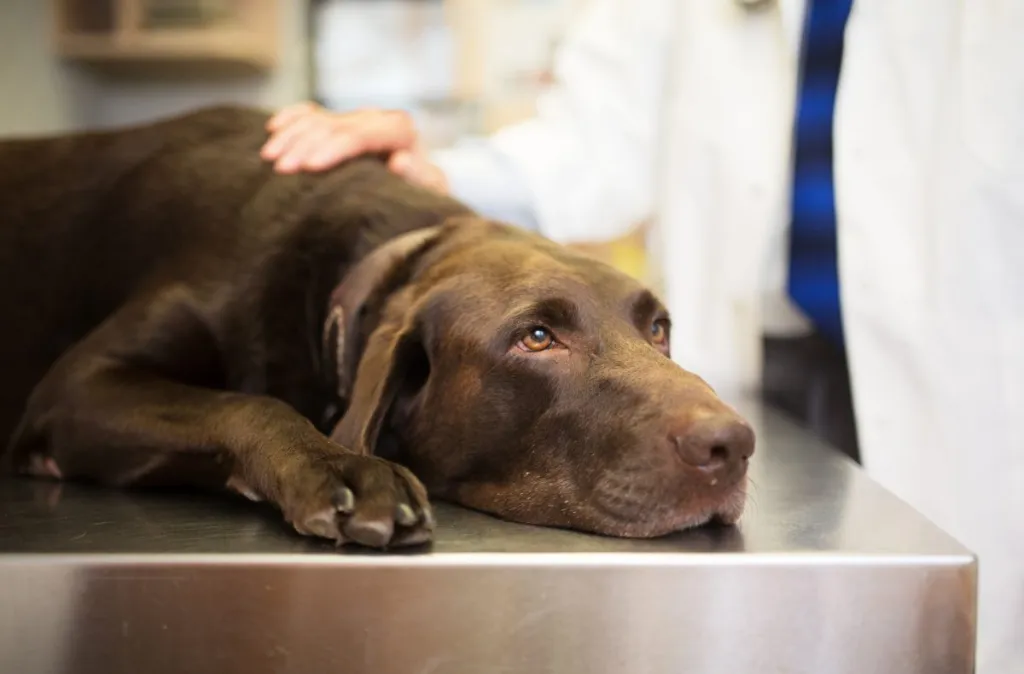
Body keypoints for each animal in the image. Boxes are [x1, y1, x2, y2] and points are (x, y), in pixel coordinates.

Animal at [0, 104, 753, 544]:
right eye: (537, 338)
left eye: (659, 329)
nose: (733, 444)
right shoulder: (75, 389)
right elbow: (252, 404)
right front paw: (344, 468)